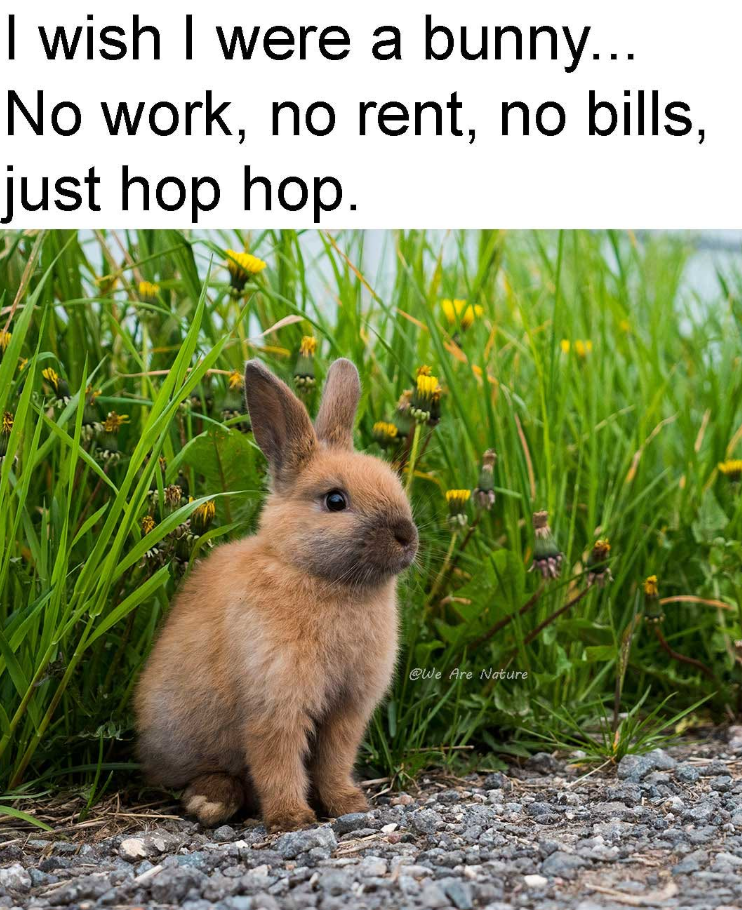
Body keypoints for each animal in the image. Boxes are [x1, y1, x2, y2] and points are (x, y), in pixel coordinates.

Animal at [135, 358, 418, 832]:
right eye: (335, 500)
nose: (407, 537)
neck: (316, 575)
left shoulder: (347, 710)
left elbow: (333, 761)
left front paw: (349, 805)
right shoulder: (274, 702)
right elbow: (278, 762)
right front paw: (292, 818)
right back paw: (210, 801)